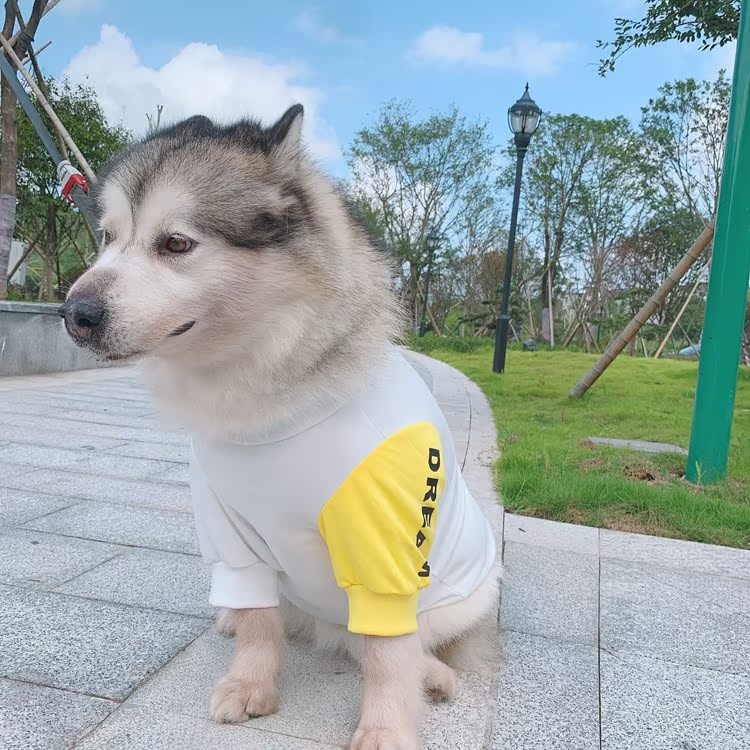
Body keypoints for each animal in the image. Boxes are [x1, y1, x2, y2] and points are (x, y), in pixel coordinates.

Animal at [60, 104, 500, 750]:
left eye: (175, 243)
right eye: (108, 239)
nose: (75, 314)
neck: (271, 403)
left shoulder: (385, 547)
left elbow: (390, 654)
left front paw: (387, 726)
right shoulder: (229, 532)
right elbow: (257, 622)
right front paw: (250, 684)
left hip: (470, 590)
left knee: (408, 642)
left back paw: (433, 675)